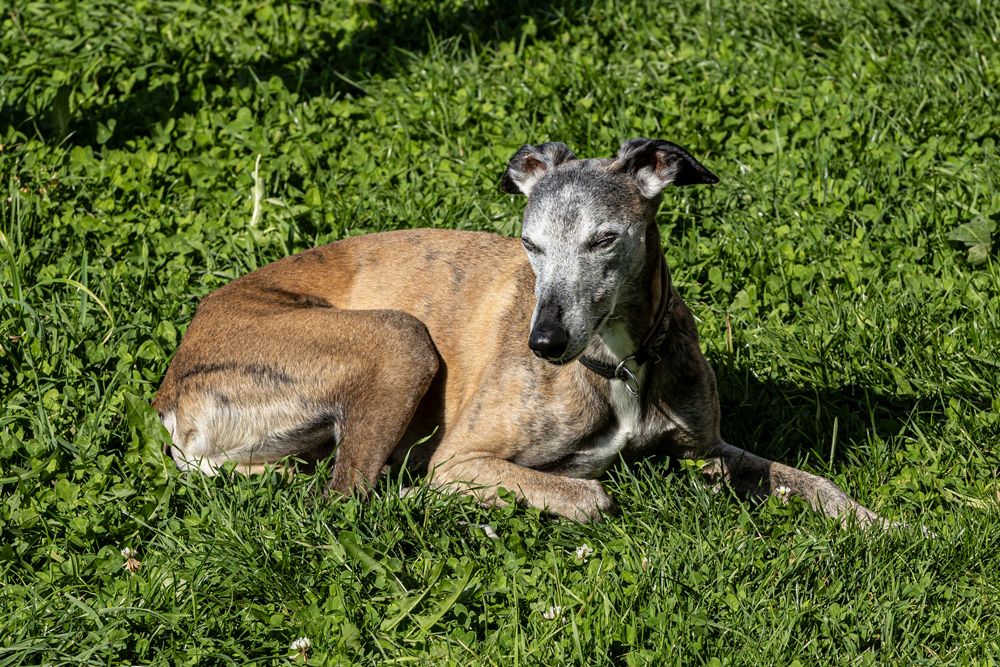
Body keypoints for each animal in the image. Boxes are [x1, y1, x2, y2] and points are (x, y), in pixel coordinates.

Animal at [154, 140, 884, 528]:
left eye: (603, 239)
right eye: (530, 244)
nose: (545, 343)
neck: (618, 363)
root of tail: (169, 394)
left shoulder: (708, 445)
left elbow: (814, 482)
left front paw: (885, 525)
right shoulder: (463, 458)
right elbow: (592, 493)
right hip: (400, 339)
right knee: (348, 495)